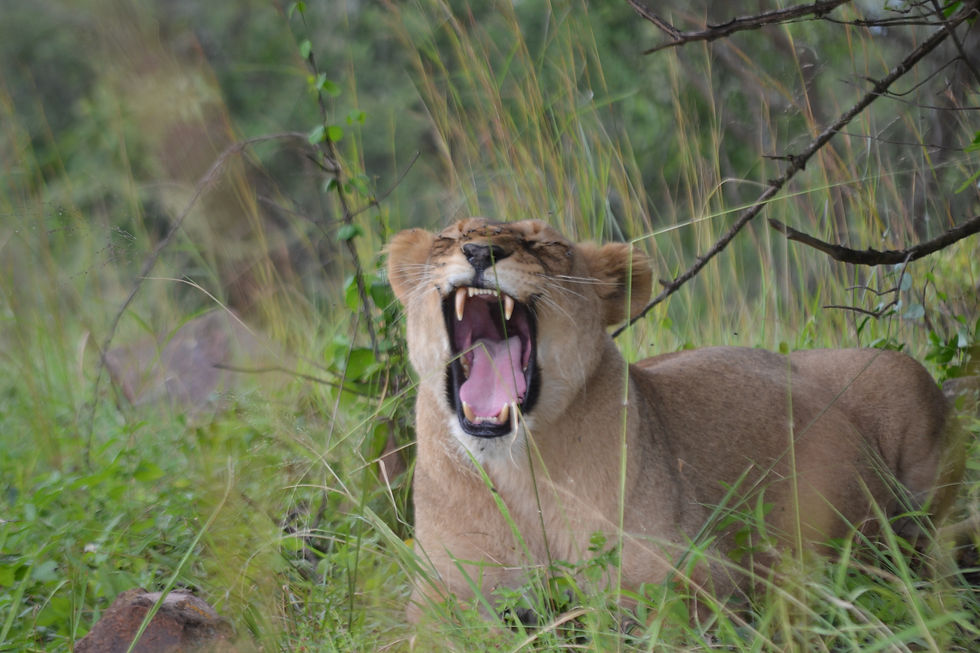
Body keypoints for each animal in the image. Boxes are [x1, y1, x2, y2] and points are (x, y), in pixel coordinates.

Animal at [386, 217, 963, 622]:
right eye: (449, 237)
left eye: (546, 244)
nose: (480, 252)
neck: (518, 470)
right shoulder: (436, 597)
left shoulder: (706, 573)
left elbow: (640, 609)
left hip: (904, 377)